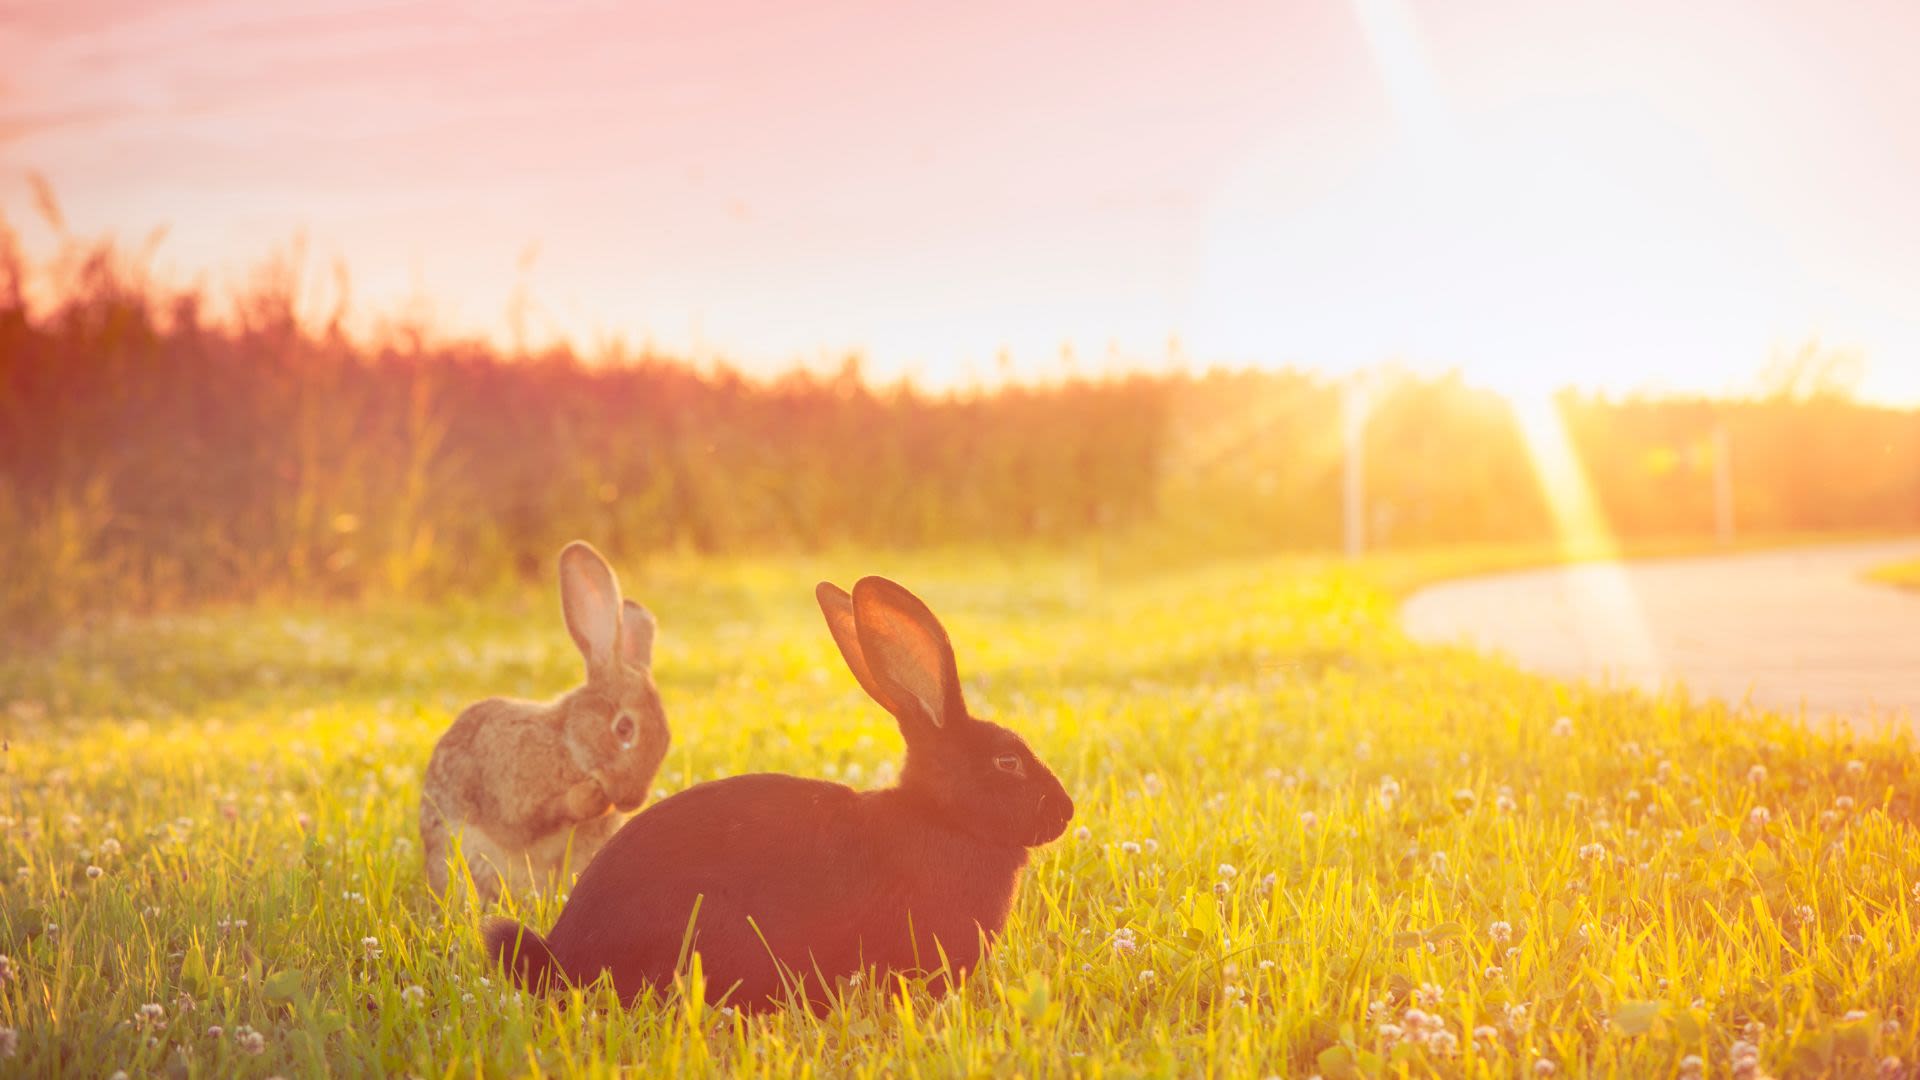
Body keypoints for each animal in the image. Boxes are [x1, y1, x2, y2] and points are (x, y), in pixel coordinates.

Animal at [418, 538, 668, 899]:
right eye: (624, 729)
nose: (630, 800)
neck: (568, 744)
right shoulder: (517, 796)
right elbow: (539, 817)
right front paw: (592, 796)